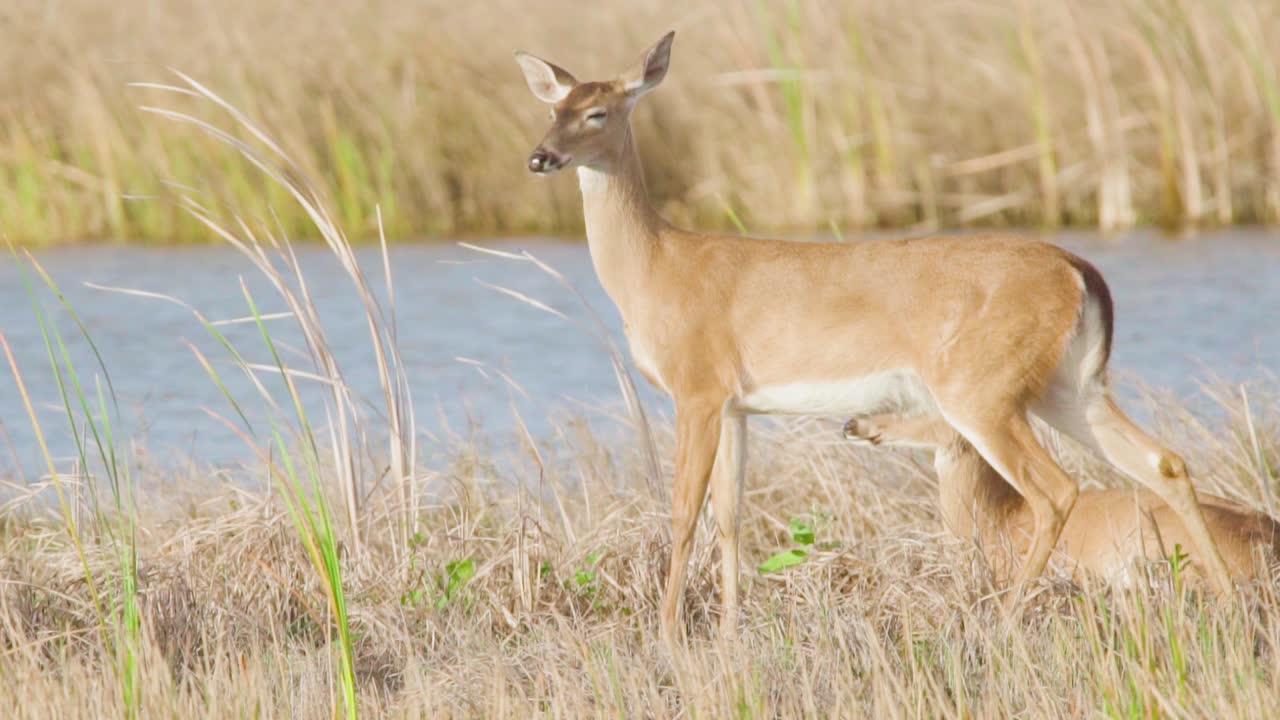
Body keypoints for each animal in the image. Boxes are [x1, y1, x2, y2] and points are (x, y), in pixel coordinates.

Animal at [514, 31, 1235, 643]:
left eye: (598, 112)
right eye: (553, 107)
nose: (540, 156)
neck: (658, 267)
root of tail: (1079, 271)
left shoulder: (696, 387)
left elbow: (684, 510)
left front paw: (668, 632)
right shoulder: (735, 404)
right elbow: (731, 516)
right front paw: (726, 631)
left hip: (981, 388)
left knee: (1056, 489)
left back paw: (1003, 621)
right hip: (1068, 384)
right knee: (1161, 461)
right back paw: (1230, 600)